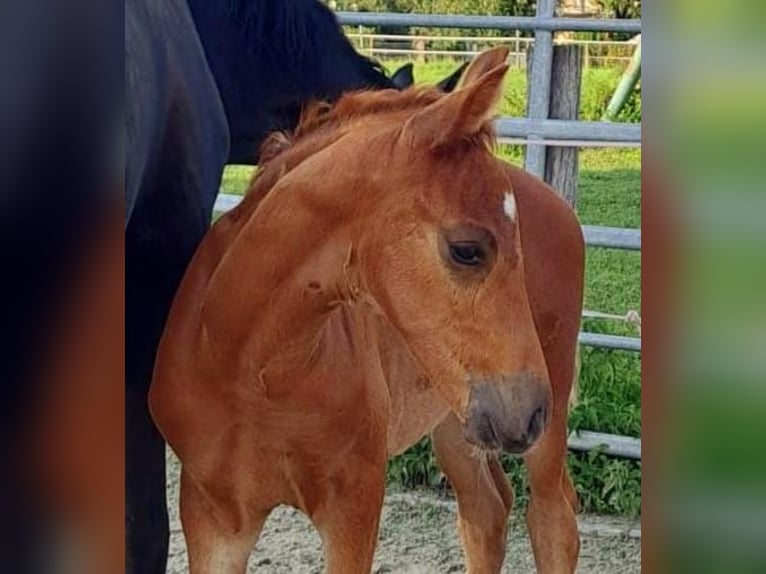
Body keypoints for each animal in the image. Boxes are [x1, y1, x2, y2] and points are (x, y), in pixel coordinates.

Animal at [148, 48, 584, 574]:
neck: (247, 366)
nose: (532, 409)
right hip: (459, 421)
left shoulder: (353, 504)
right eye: (467, 250)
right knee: (486, 511)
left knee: (552, 518)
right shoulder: (212, 514)